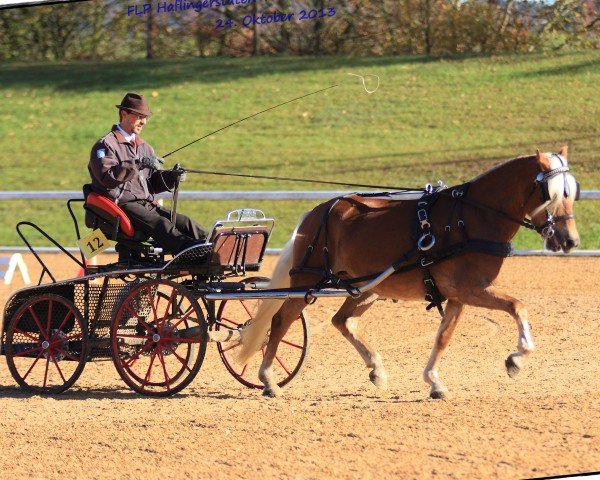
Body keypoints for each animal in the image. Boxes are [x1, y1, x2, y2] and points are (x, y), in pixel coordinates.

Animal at [239, 148, 580, 400]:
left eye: (571, 192)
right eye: (550, 194)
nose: (569, 241)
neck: (470, 218)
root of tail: (315, 212)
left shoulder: (458, 295)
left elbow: (443, 337)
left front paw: (434, 381)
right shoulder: (473, 289)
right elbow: (517, 306)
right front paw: (517, 358)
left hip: (366, 287)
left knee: (343, 321)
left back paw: (376, 368)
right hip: (308, 280)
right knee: (280, 321)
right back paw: (268, 380)